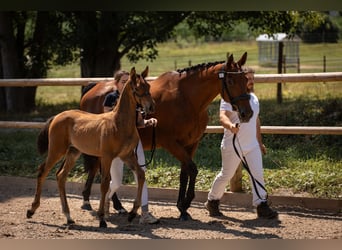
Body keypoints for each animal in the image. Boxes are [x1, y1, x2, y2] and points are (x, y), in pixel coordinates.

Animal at [26, 67, 154, 228]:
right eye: (137, 89)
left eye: (148, 86)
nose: (151, 107)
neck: (119, 123)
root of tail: (57, 116)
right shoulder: (107, 156)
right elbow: (104, 183)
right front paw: (102, 218)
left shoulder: (127, 155)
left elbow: (141, 175)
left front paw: (132, 214)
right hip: (56, 150)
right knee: (43, 171)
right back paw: (31, 210)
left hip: (73, 152)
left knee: (61, 176)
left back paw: (68, 217)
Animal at [79, 51, 251, 220]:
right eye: (230, 80)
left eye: (245, 79)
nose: (247, 113)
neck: (186, 99)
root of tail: (93, 89)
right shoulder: (171, 143)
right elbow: (193, 169)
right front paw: (185, 204)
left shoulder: (191, 144)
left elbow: (185, 173)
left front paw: (182, 209)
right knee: (100, 171)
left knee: (98, 170)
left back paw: (103, 203)